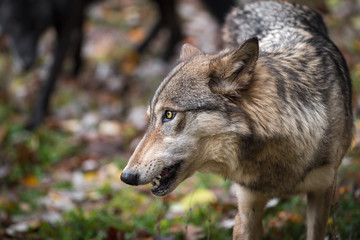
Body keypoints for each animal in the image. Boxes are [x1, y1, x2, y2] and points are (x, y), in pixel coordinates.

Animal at [0, 0, 98, 129]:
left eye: (38, 24)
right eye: (13, 23)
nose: (27, 63)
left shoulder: (66, 25)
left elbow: (50, 78)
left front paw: (37, 118)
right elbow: (79, 37)